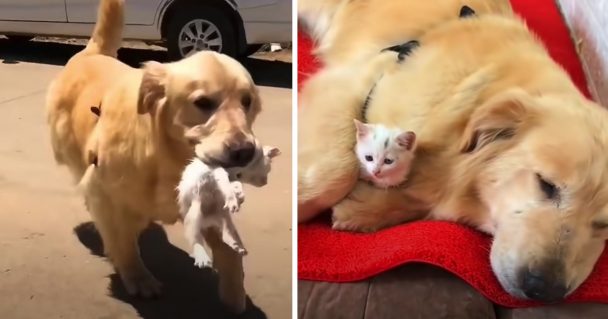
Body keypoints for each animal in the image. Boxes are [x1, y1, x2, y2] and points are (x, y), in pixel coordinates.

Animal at [45, 0, 258, 310]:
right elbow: (123, 242)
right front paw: (138, 277)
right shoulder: (108, 197)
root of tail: (92, 53)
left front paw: (234, 293)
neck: (167, 158)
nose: (245, 151)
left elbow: (229, 251)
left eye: (247, 101)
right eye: (202, 102)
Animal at [296, 0, 608, 304]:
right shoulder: (354, 80)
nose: (545, 291)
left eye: (604, 224)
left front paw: (364, 208)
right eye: (546, 185)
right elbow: (338, 173)